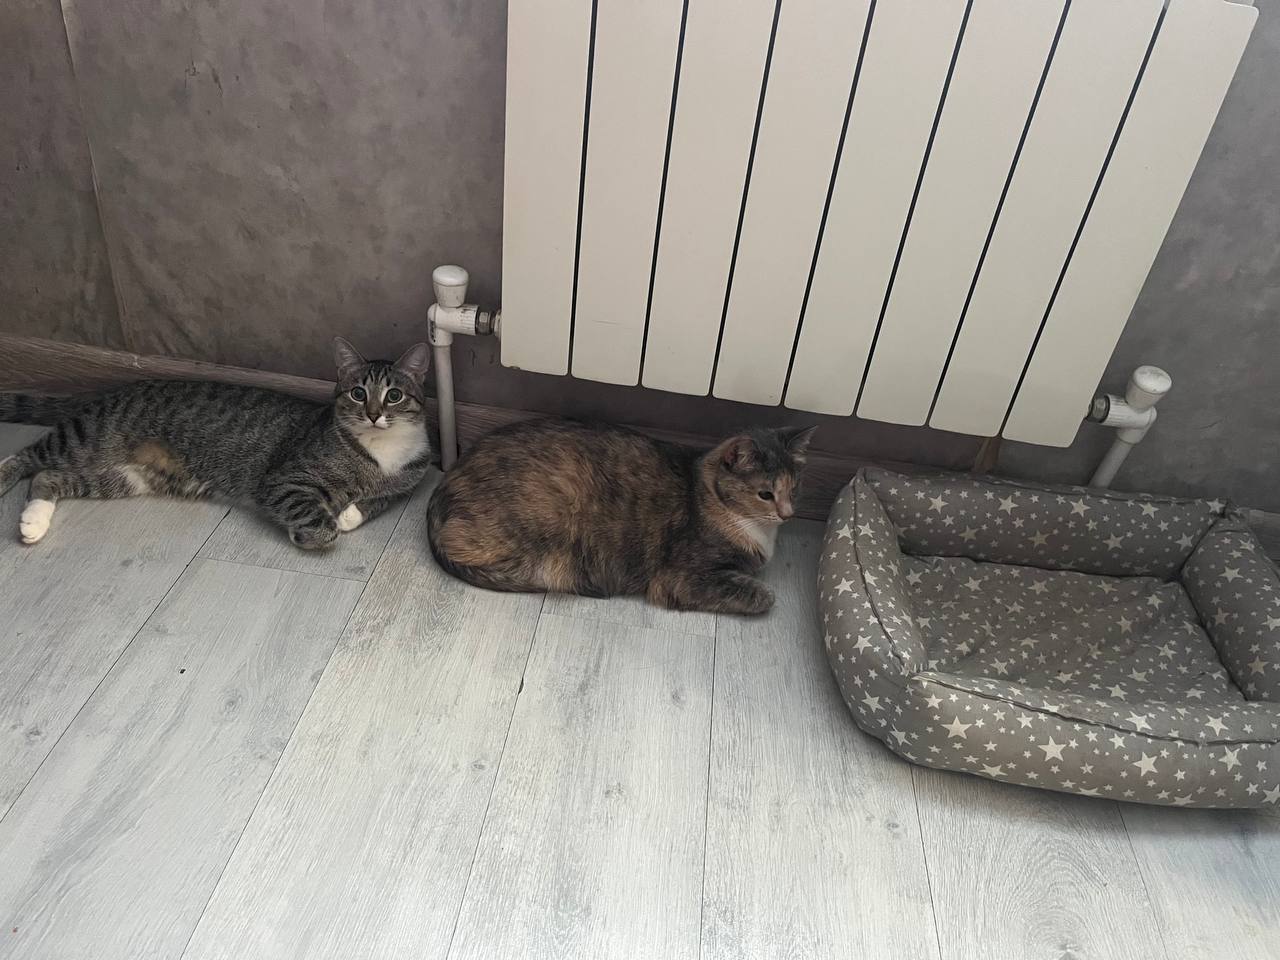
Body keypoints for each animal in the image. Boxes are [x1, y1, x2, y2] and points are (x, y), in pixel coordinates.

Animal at [0, 337, 432, 549]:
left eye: (394, 396)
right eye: (359, 394)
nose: (373, 414)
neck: (382, 447)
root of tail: (115, 388)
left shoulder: (413, 478)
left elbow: (383, 499)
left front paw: (348, 514)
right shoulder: (283, 481)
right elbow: (318, 523)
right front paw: (312, 532)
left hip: (125, 476)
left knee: (49, 478)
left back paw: (33, 523)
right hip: (88, 437)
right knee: (29, 457)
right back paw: (4, 478)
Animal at [426, 418, 816, 615]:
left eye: (795, 487)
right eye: (765, 494)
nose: (787, 514)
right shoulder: (681, 578)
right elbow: (760, 594)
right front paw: (761, 592)